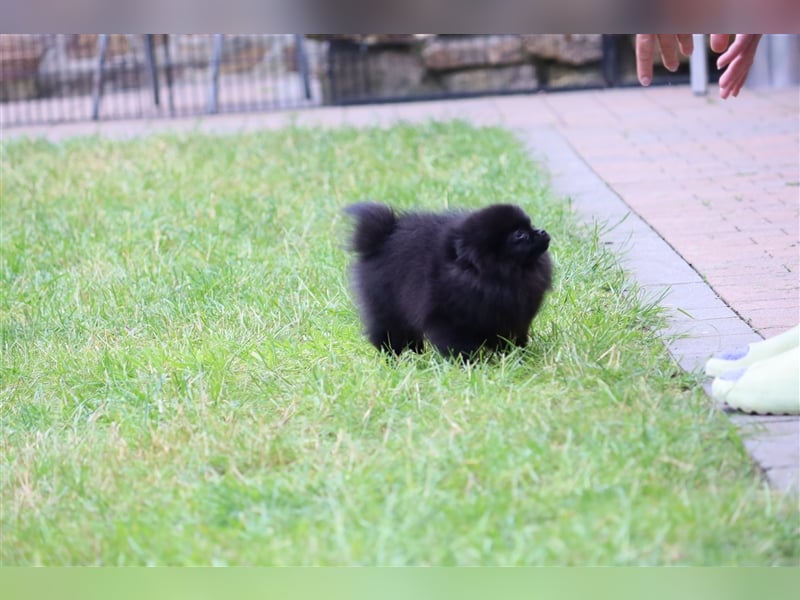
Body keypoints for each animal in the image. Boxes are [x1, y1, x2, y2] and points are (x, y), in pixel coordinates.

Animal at [344, 204, 552, 358]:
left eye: (531, 226)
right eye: (520, 235)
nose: (541, 231)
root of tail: (379, 238)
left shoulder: (512, 318)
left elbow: (511, 338)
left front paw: (515, 356)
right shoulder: (446, 321)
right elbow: (459, 345)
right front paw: (470, 364)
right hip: (386, 309)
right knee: (390, 336)